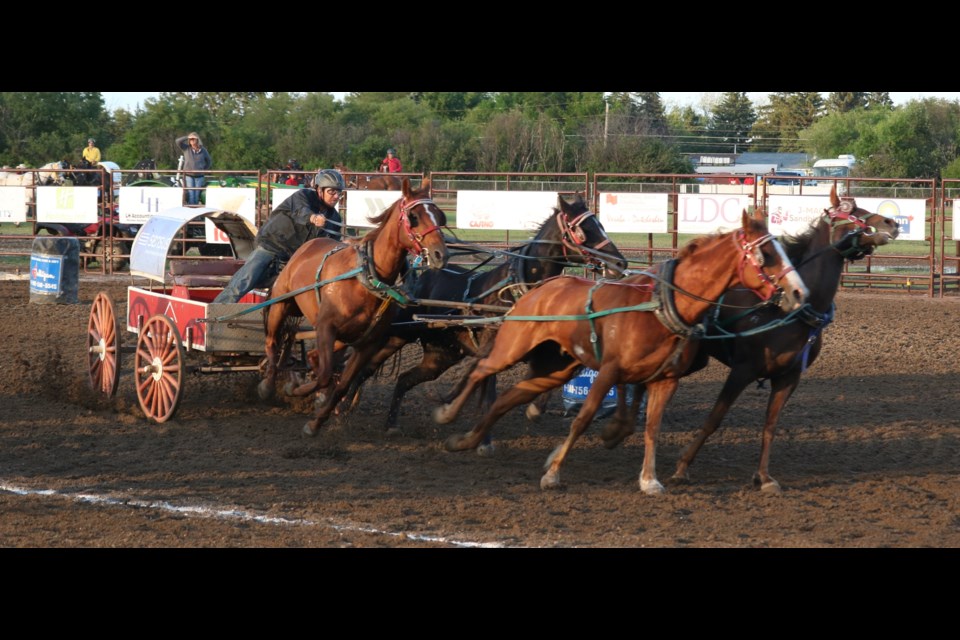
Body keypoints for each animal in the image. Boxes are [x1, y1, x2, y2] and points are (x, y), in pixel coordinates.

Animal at [256, 178, 448, 438]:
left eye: (439, 215)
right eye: (414, 216)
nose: (441, 254)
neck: (366, 279)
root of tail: (307, 246)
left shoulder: (367, 344)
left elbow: (342, 384)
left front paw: (316, 422)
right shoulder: (325, 327)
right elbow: (326, 375)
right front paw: (294, 390)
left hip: (340, 338)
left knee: (313, 356)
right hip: (281, 305)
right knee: (273, 343)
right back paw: (267, 385)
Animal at [338, 191, 632, 440]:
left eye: (600, 224)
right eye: (583, 229)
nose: (620, 262)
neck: (519, 291)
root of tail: (417, 280)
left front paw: (533, 411)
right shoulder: (491, 347)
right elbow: (483, 384)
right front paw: (464, 418)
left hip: (440, 356)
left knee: (403, 379)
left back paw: (389, 422)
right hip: (396, 335)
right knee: (364, 365)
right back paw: (343, 403)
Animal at [436, 210, 808, 496]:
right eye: (767, 254)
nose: (798, 293)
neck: (663, 306)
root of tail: (542, 288)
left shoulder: (666, 380)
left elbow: (652, 427)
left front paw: (649, 480)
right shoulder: (610, 371)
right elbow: (584, 418)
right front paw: (553, 473)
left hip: (555, 368)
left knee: (507, 398)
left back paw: (467, 440)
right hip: (513, 347)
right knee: (482, 369)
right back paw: (448, 414)